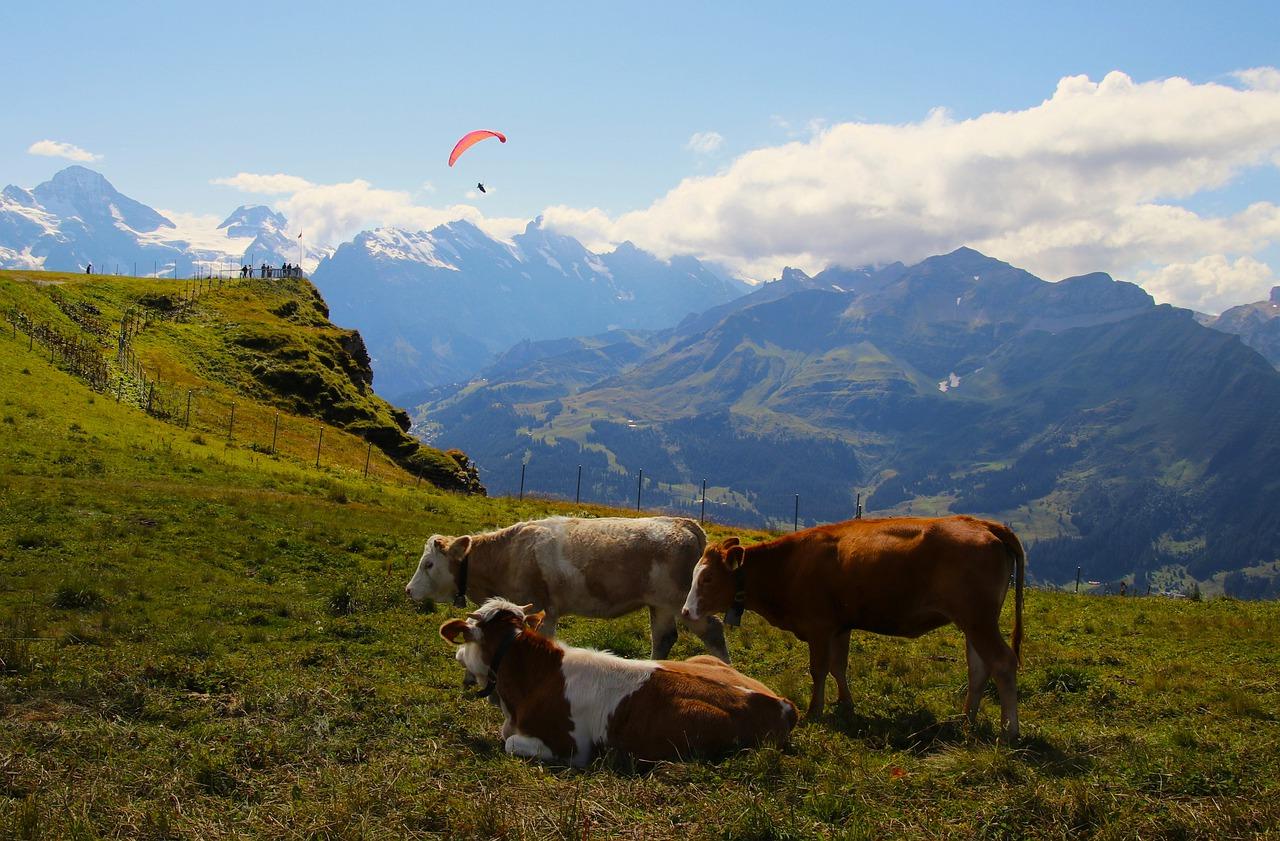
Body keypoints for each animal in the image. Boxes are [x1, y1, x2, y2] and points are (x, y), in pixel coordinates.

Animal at [407, 512, 732, 660]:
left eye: (429, 564)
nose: (409, 590)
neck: (508, 555)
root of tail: (684, 523)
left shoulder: (535, 605)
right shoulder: (549, 611)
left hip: (683, 602)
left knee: (713, 631)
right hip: (660, 605)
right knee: (663, 638)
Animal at [680, 514, 1029, 737]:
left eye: (707, 578)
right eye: (695, 573)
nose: (685, 611)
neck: (788, 566)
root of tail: (983, 524)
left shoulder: (819, 627)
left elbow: (819, 669)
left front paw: (815, 710)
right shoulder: (840, 626)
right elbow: (839, 666)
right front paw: (845, 704)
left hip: (978, 619)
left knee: (1002, 662)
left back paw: (1008, 730)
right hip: (974, 622)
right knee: (979, 668)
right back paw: (966, 719)